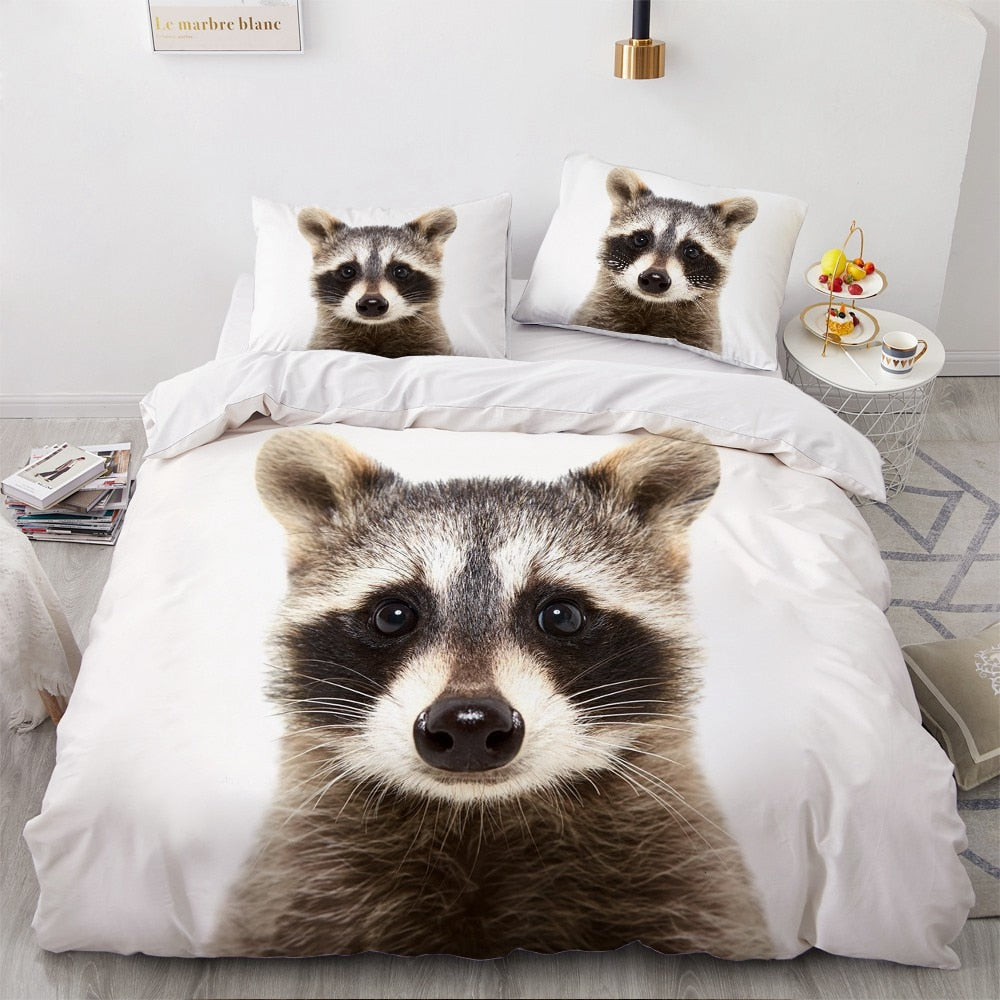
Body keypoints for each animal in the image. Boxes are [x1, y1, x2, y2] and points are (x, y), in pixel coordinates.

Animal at [213, 429, 773, 960]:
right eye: (393, 615)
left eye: (562, 616)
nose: (468, 723)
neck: (479, 817)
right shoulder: (298, 886)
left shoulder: (687, 880)